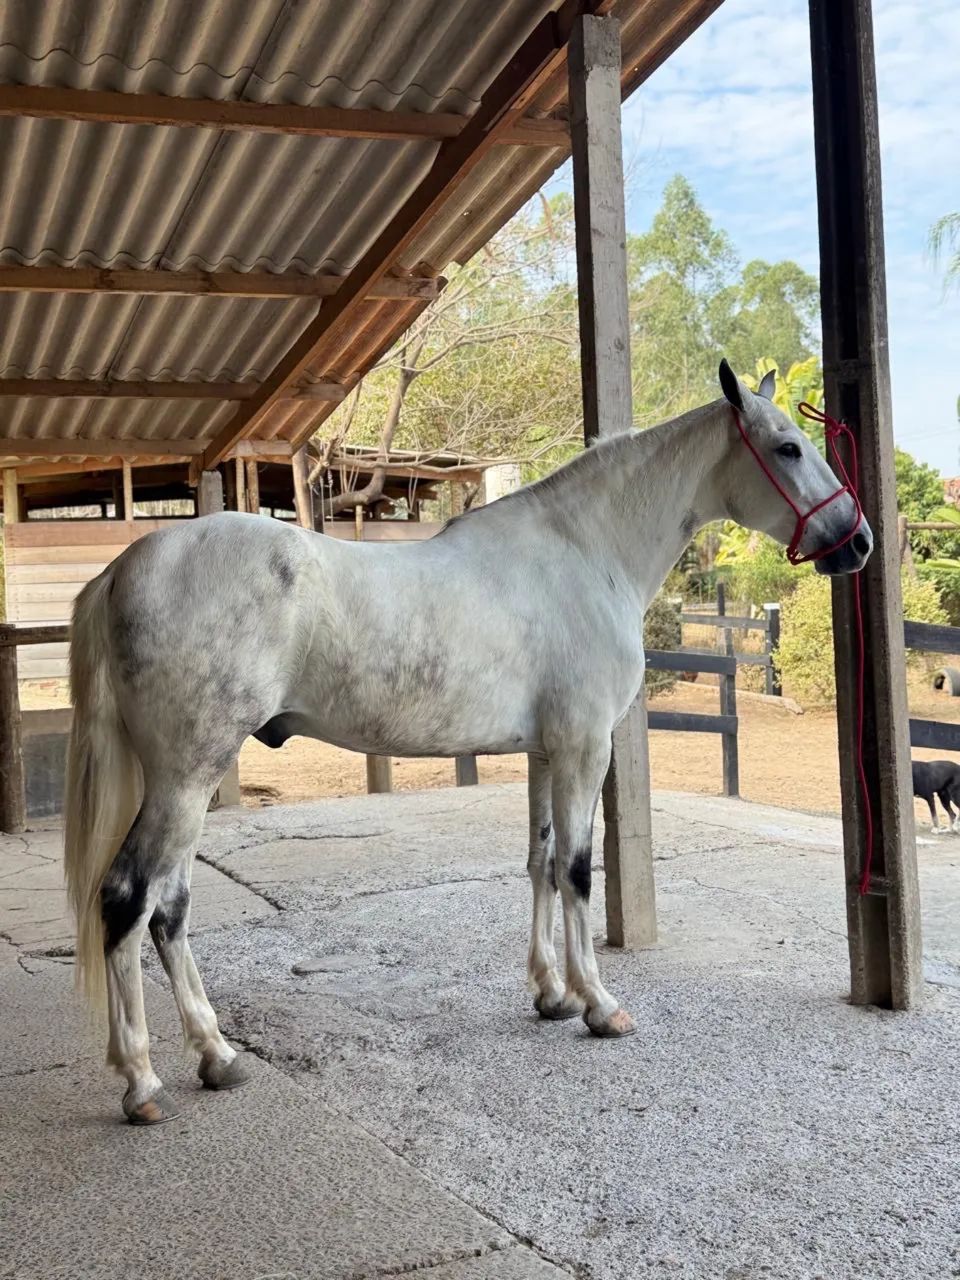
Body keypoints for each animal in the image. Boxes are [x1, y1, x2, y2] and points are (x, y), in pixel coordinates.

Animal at [64, 359, 872, 1124]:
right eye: (788, 446)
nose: (858, 541)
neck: (586, 553)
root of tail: (123, 570)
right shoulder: (585, 746)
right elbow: (579, 870)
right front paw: (599, 1005)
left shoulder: (546, 751)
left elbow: (541, 863)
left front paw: (551, 995)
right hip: (186, 776)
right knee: (130, 898)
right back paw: (142, 1082)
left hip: (189, 777)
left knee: (169, 909)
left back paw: (217, 1054)